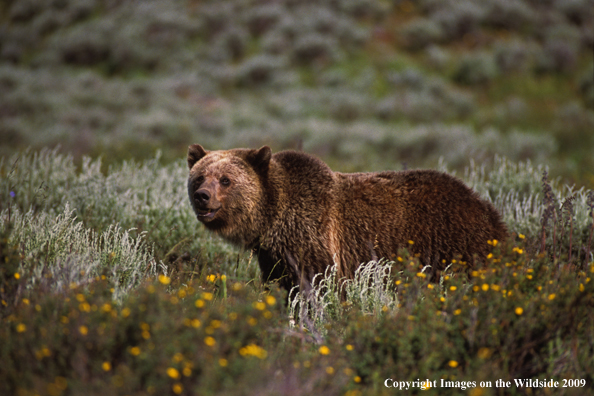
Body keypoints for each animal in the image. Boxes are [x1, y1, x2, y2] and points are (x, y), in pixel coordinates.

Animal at [186, 145, 504, 290]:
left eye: (225, 180)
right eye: (199, 176)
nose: (202, 195)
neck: (273, 218)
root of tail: (483, 204)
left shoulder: (314, 240)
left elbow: (318, 284)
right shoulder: (274, 255)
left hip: (452, 242)